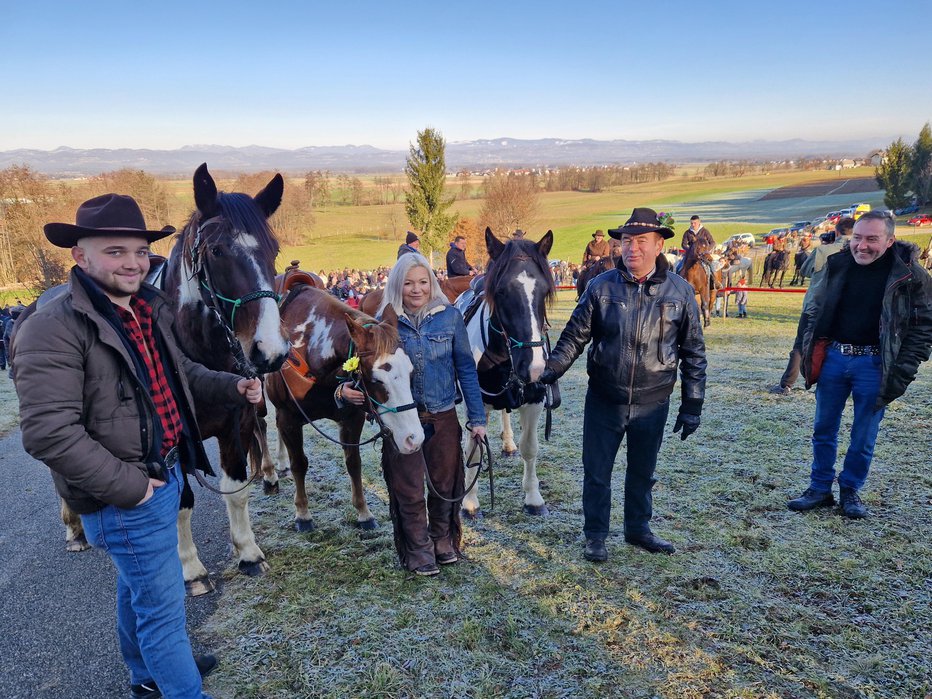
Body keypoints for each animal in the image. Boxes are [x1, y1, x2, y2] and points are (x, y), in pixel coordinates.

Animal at [262, 288, 422, 532]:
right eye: (376, 380)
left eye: (411, 372)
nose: (414, 439)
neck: (307, 348)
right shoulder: (289, 418)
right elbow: (299, 463)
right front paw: (303, 514)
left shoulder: (352, 418)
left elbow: (353, 463)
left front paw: (364, 513)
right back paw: (270, 475)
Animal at [460, 227, 552, 516]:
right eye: (501, 291)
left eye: (545, 290)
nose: (534, 367)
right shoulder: (476, 404)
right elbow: (474, 450)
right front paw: (469, 501)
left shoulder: (534, 399)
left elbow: (530, 448)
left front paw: (533, 498)